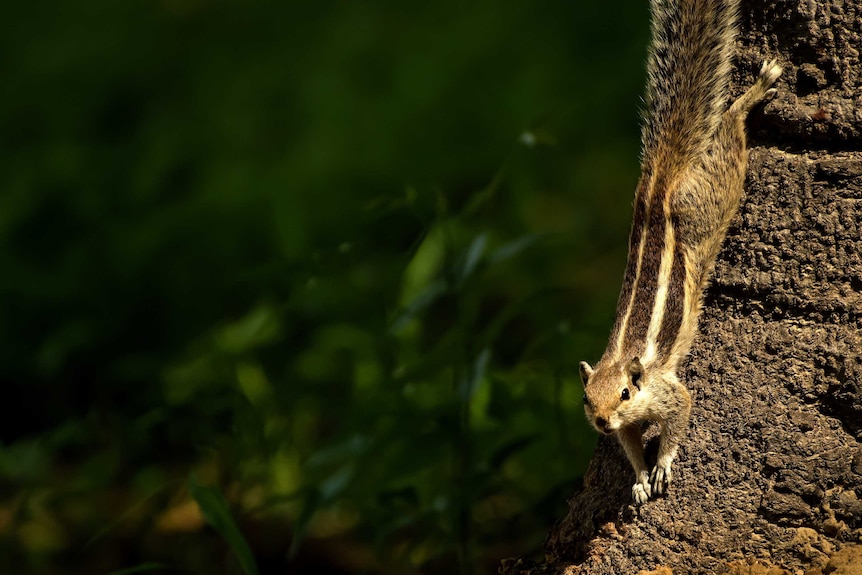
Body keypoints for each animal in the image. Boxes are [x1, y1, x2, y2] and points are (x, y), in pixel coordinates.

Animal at [580, 0, 784, 504]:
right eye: (587, 399)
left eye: (625, 394)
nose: (601, 422)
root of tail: (658, 179)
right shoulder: (625, 428)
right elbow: (630, 445)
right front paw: (637, 478)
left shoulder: (669, 393)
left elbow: (681, 417)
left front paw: (663, 465)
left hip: (710, 199)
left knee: (729, 133)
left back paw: (752, 94)